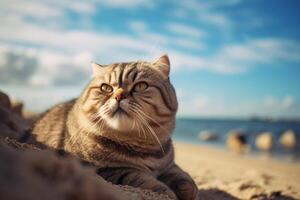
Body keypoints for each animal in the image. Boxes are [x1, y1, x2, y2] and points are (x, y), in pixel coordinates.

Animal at [31, 54, 199, 200]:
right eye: (106, 88)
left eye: (141, 86)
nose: (118, 96)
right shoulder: (102, 169)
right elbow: (138, 176)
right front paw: (167, 192)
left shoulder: (169, 164)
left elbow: (182, 175)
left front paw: (188, 189)